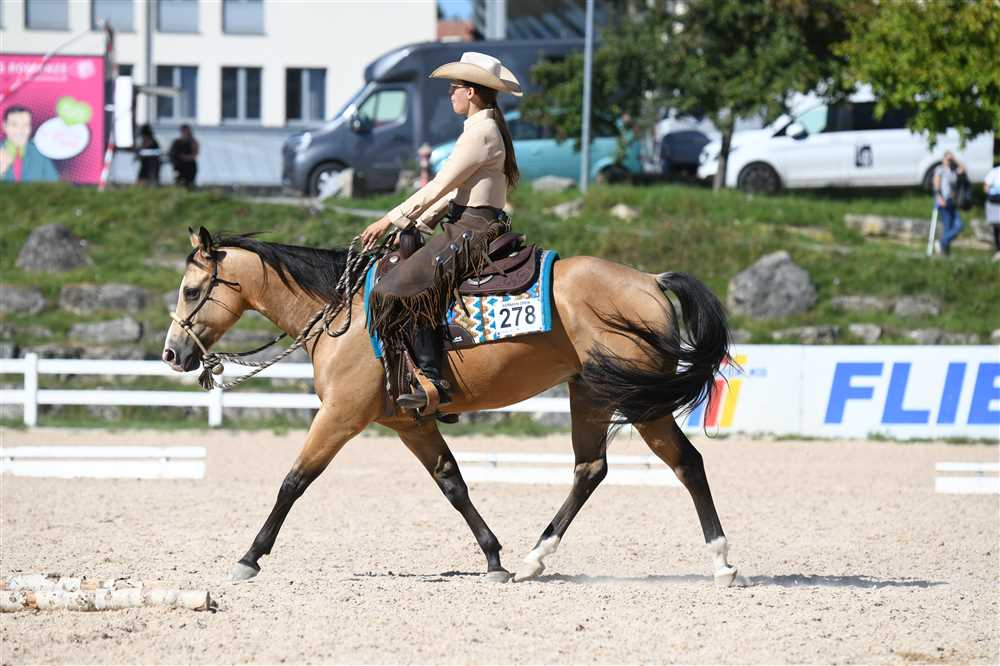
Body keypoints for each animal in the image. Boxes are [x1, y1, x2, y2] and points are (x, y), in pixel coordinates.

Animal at [162, 226, 739, 585]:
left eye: (191, 291)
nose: (173, 353)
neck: (342, 314)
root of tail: (650, 280)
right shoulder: (408, 423)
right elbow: (452, 483)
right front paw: (494, 558)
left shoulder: (340, 417)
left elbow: (293, 482)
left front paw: (249, 558)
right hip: (593, 393)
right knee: (591, 469)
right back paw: (533, 560)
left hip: (637, 399)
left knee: (685, 462)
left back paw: (722, 563)